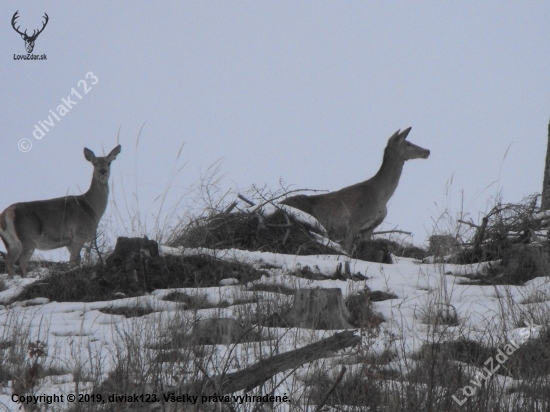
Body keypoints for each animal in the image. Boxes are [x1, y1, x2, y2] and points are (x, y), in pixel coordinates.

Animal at [0, 145, 121, 276]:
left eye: (109, 163)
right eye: (94, 163)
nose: (102, 172)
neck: (91, 208)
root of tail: (6, 214)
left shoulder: (69, 241)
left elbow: (76, 261)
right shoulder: (79, 233)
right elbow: (73, 260)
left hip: (12, 242)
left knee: (9, 261)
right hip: (28, 236)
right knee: (21, 261)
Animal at [280, 127, 432, 253]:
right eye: (407, 143)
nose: (427, 151)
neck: (380, 198)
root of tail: (280, 201)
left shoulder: (369, 228)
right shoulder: (354, 221)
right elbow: (348, 250)